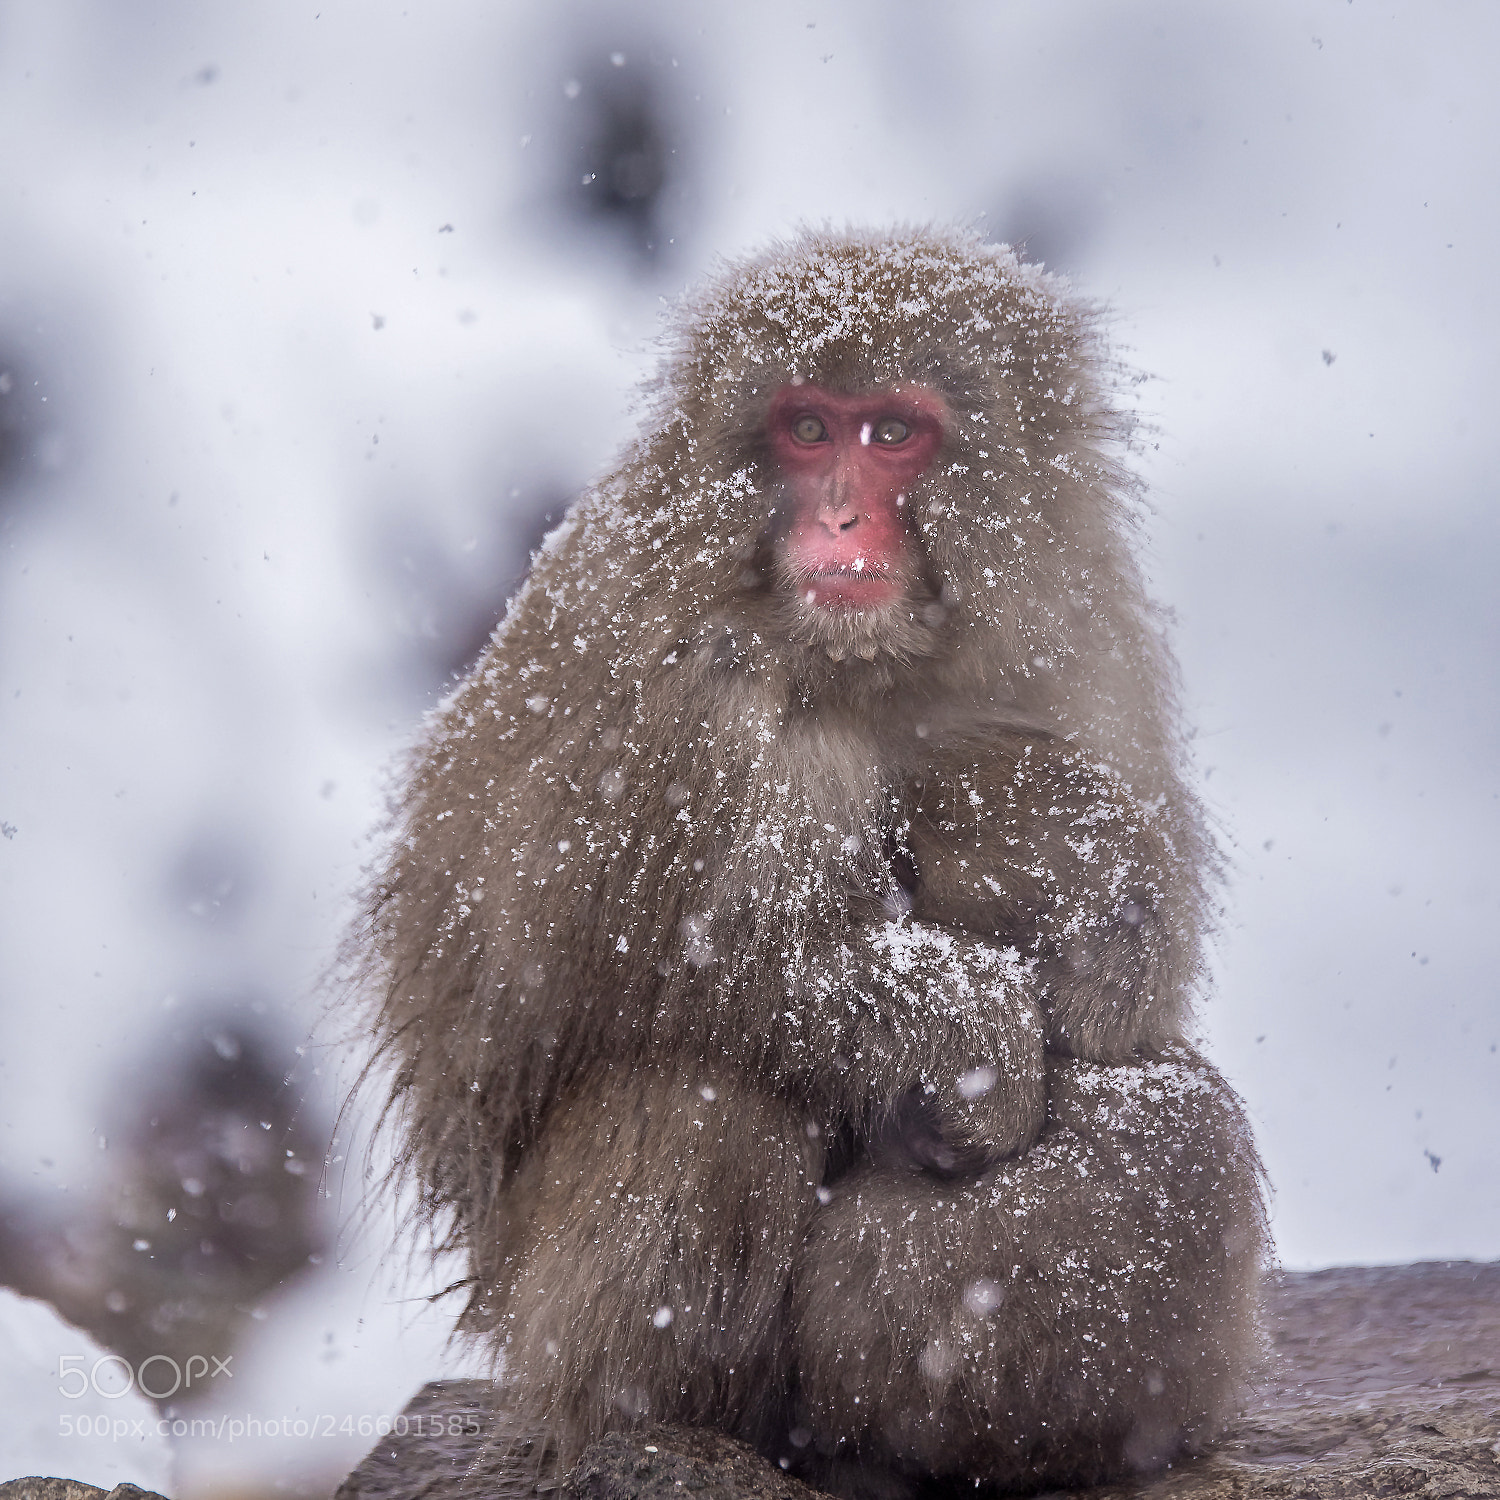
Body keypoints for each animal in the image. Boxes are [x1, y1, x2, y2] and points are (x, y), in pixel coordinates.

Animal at [350, 227, 1266, 1495]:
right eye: (805, 428)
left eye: (890, 434)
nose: (835, 523)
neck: (870, 661)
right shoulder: (682, 682)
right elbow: (618, 968)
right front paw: (970, 1033)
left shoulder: (1087, 635)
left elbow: (1133, 1004)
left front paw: (1098, 924)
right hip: (549, 1307)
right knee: (710, 1090)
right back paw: (681, 1429)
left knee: (1164, 1117)